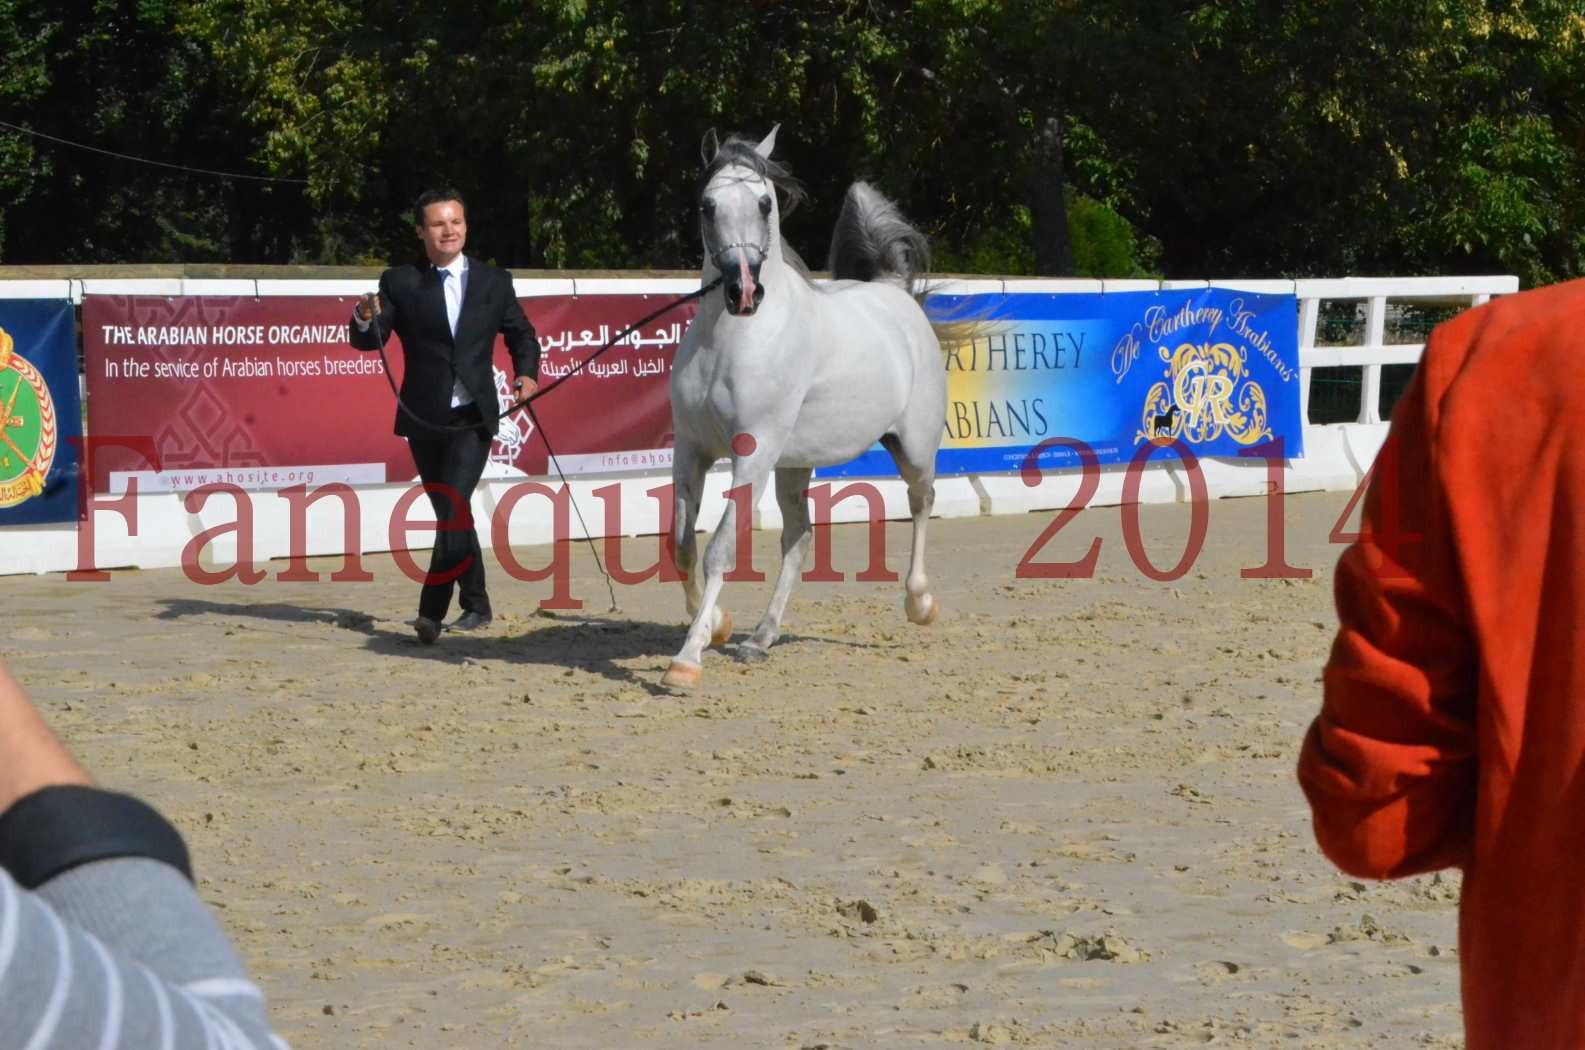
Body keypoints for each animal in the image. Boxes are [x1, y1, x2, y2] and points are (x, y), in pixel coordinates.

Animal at [662, 127, 944, 691]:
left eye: (765, 203)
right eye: (707, 205)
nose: (743, 291)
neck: (732, 339)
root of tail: (895, 293)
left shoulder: (751, 454)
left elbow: (721, 549)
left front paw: (688, 657)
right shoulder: (692, 451)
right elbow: (682, 545)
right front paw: (718, 625)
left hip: (914, 448)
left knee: (921, 503)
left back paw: (919, 603)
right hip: (793, 466)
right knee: (800, 539)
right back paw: (760, 638)